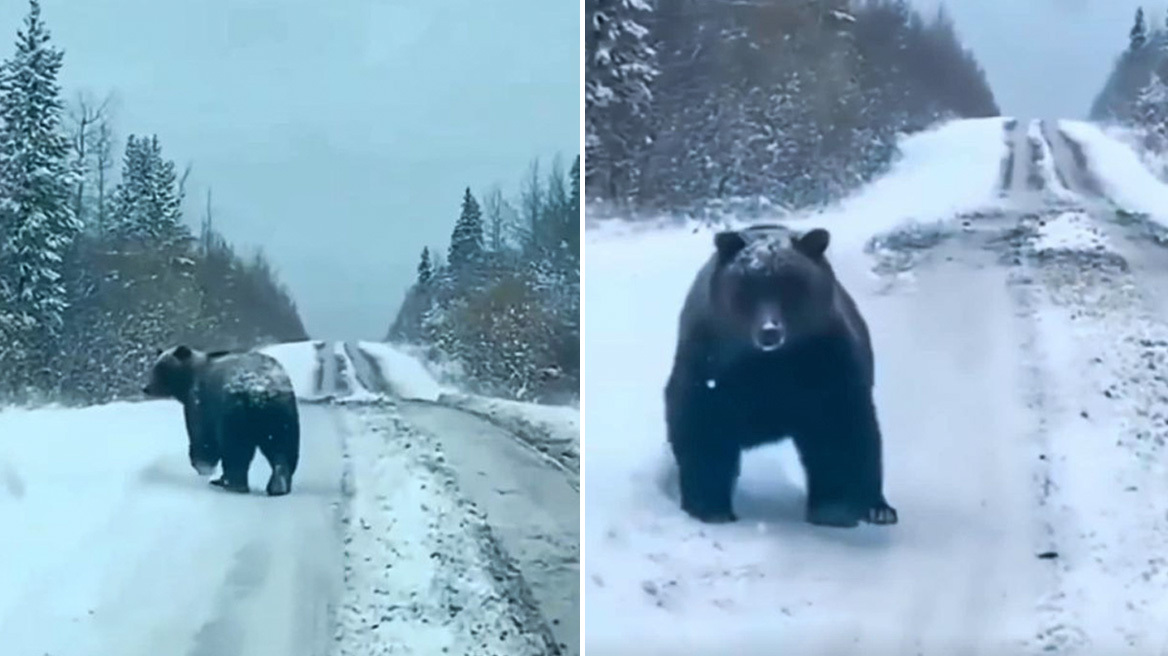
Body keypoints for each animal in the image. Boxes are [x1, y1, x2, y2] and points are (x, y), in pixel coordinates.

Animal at [142, 345, 301, 492]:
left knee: (236, 448)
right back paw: (278, 485)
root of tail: (258, 389)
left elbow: (202, 438)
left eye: (161, 369)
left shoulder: (200, 402)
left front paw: (203, 467)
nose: (146, 387)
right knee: (283, 448)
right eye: (154, 368)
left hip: (234, 413)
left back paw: (232, 483)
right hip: (281, 413)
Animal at [663, 224, 897, 525]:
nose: (770, 330)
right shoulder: (711, 370)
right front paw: (710, 507)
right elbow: (702, 429)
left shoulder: (826, 369)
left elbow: (840, 434)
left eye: (791, 285)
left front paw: (835, 508)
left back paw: (879, 508)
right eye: (747, 287)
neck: (768, 366)